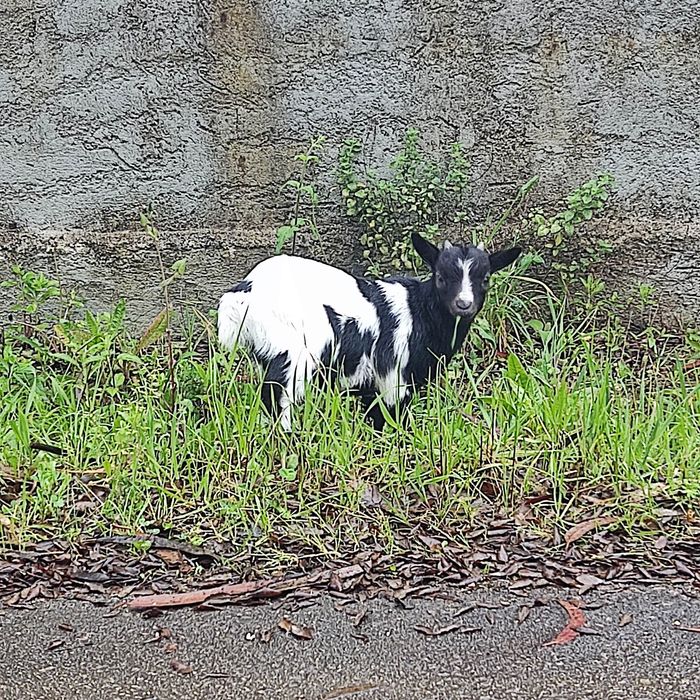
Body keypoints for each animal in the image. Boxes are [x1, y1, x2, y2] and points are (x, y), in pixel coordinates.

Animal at [217, 232, 521, 430]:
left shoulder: (369, 384)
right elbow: (391, 419)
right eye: (441, 277)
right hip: (293, 352)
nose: (463, 304)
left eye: (485, 278)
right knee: (278, 395)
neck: (419, 311)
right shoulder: (395, 377)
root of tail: (246, 291)